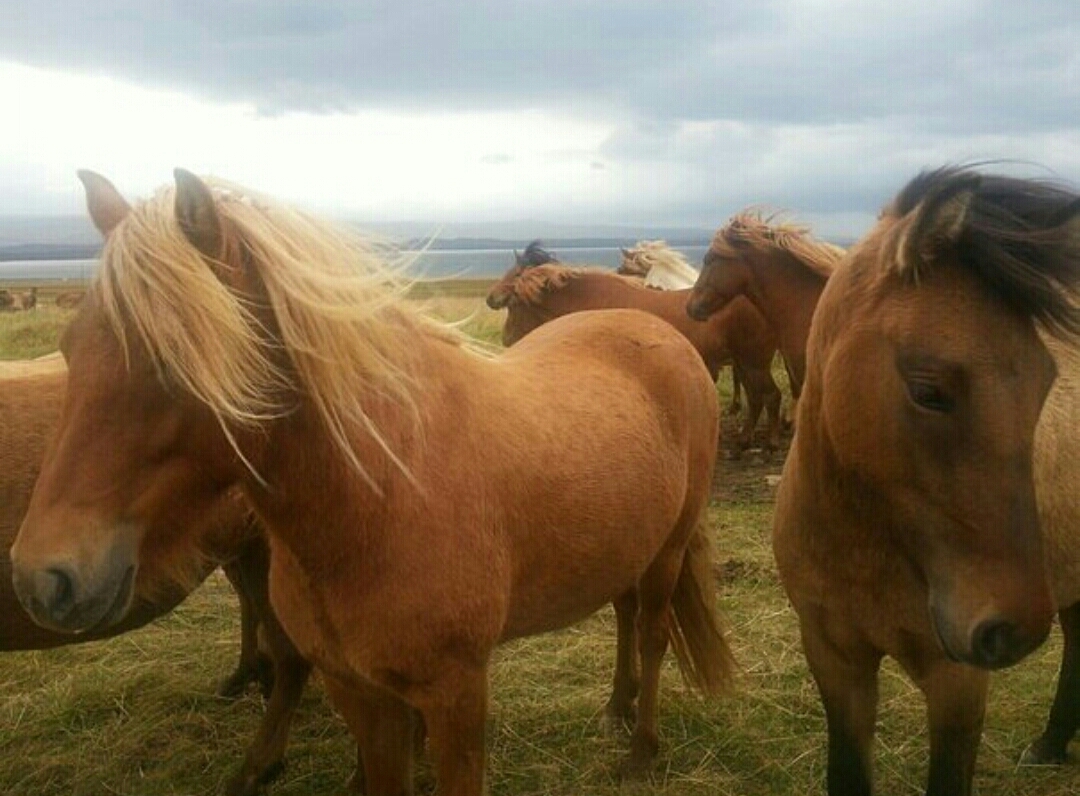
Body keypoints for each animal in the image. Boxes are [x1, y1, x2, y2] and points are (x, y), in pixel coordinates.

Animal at [496, 262, 786, 453]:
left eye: (514, 304)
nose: (507, 340)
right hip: (746, 364)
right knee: (757, 398)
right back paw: (745, 440)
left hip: (753, 363)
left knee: (771, 396)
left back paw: (770, 442)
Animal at [777, 164, 1080, 790]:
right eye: (928, 391)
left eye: (1044, 381)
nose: (1012, 629)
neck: (865, 549)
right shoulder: (834, 657)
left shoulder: (956, 681)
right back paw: (1051, 742)